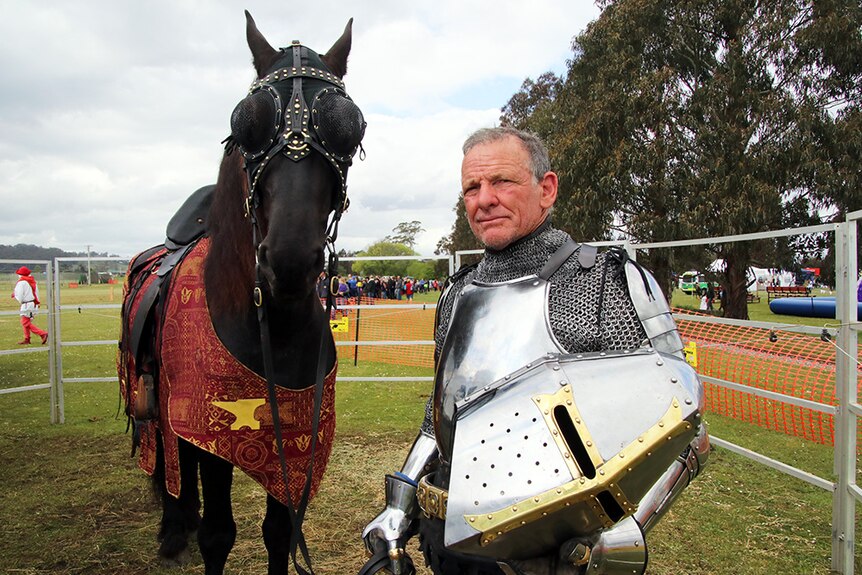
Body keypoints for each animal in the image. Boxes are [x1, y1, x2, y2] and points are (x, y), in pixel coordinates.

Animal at [117, 10, 364, 575]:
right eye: (245, 123)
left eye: (349, 125)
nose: (290, 262)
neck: (269, 325)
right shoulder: (211, 437)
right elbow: (219, 535)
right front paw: (193, 530)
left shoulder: (292, 438)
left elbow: (279, 532)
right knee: (167, 458)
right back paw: (174, 527)